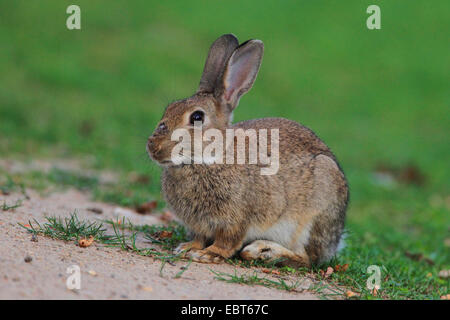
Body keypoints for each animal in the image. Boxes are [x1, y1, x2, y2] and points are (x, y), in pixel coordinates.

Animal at [146, 33, 350, 268]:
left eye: (197, 117)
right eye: (169, 109)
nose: (153, 147)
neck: (210, 157)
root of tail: (335, 240)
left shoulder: (237, 219)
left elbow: (228, 241)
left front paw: (207, 255)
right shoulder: (200, 225)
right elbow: (199, 237)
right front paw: (188, 248)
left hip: (312, 216)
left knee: (307, 258)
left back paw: (264, 251)